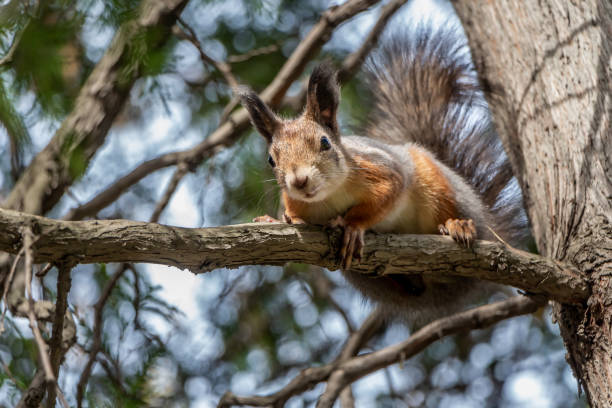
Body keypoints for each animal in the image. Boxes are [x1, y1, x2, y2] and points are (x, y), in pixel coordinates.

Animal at [234, 26, 524, 326]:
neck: (328, 197)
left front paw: (352, 226)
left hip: (437, 185)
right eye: (271, 159)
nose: (299, 181)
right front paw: (276, 219)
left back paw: (459, 225)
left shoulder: (382, 170)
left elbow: (386, 195)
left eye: (325, 143)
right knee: (411, 286)